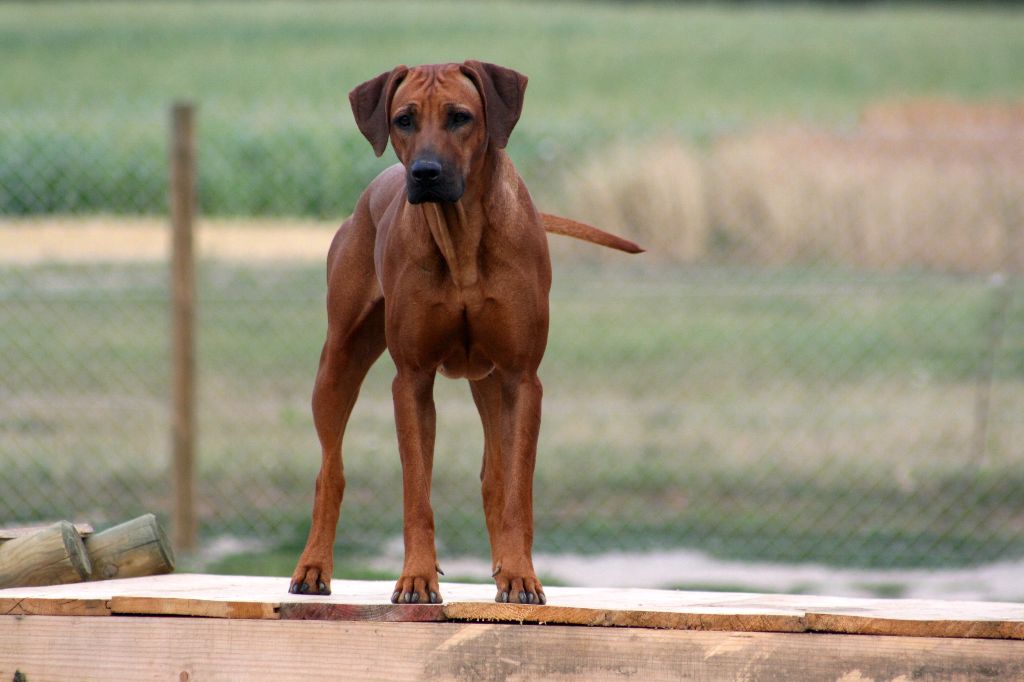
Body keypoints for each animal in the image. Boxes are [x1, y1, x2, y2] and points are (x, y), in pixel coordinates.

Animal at [290, 61, 638, 602]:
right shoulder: (411, 379)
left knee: (494, 476)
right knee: (331, 469)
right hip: (338, 361)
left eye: (460, 117)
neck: (461, 239)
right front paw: (417, 576)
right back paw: (313, 567)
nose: (425, 173)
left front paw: (520, 574)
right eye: (404, 119)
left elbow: (516, 491)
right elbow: (417, 492)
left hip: (489, 381)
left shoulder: (521, 378)